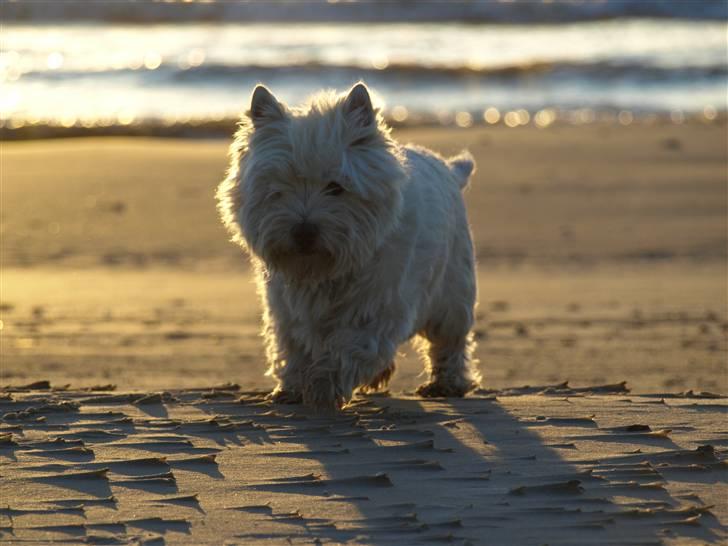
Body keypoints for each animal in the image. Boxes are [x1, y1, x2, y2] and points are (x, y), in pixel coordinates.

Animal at [216, 82, 478, 408]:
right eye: (279, 188)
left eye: (336, 187)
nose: (303, 232)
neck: (324, 271)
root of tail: (451, 170)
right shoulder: (285, 308)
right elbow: (293, 346)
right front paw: (291, 387)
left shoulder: (377, 305)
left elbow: (352, 345)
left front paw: (323, 386)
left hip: (453, 288)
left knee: (450, 339)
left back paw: (446, 383)